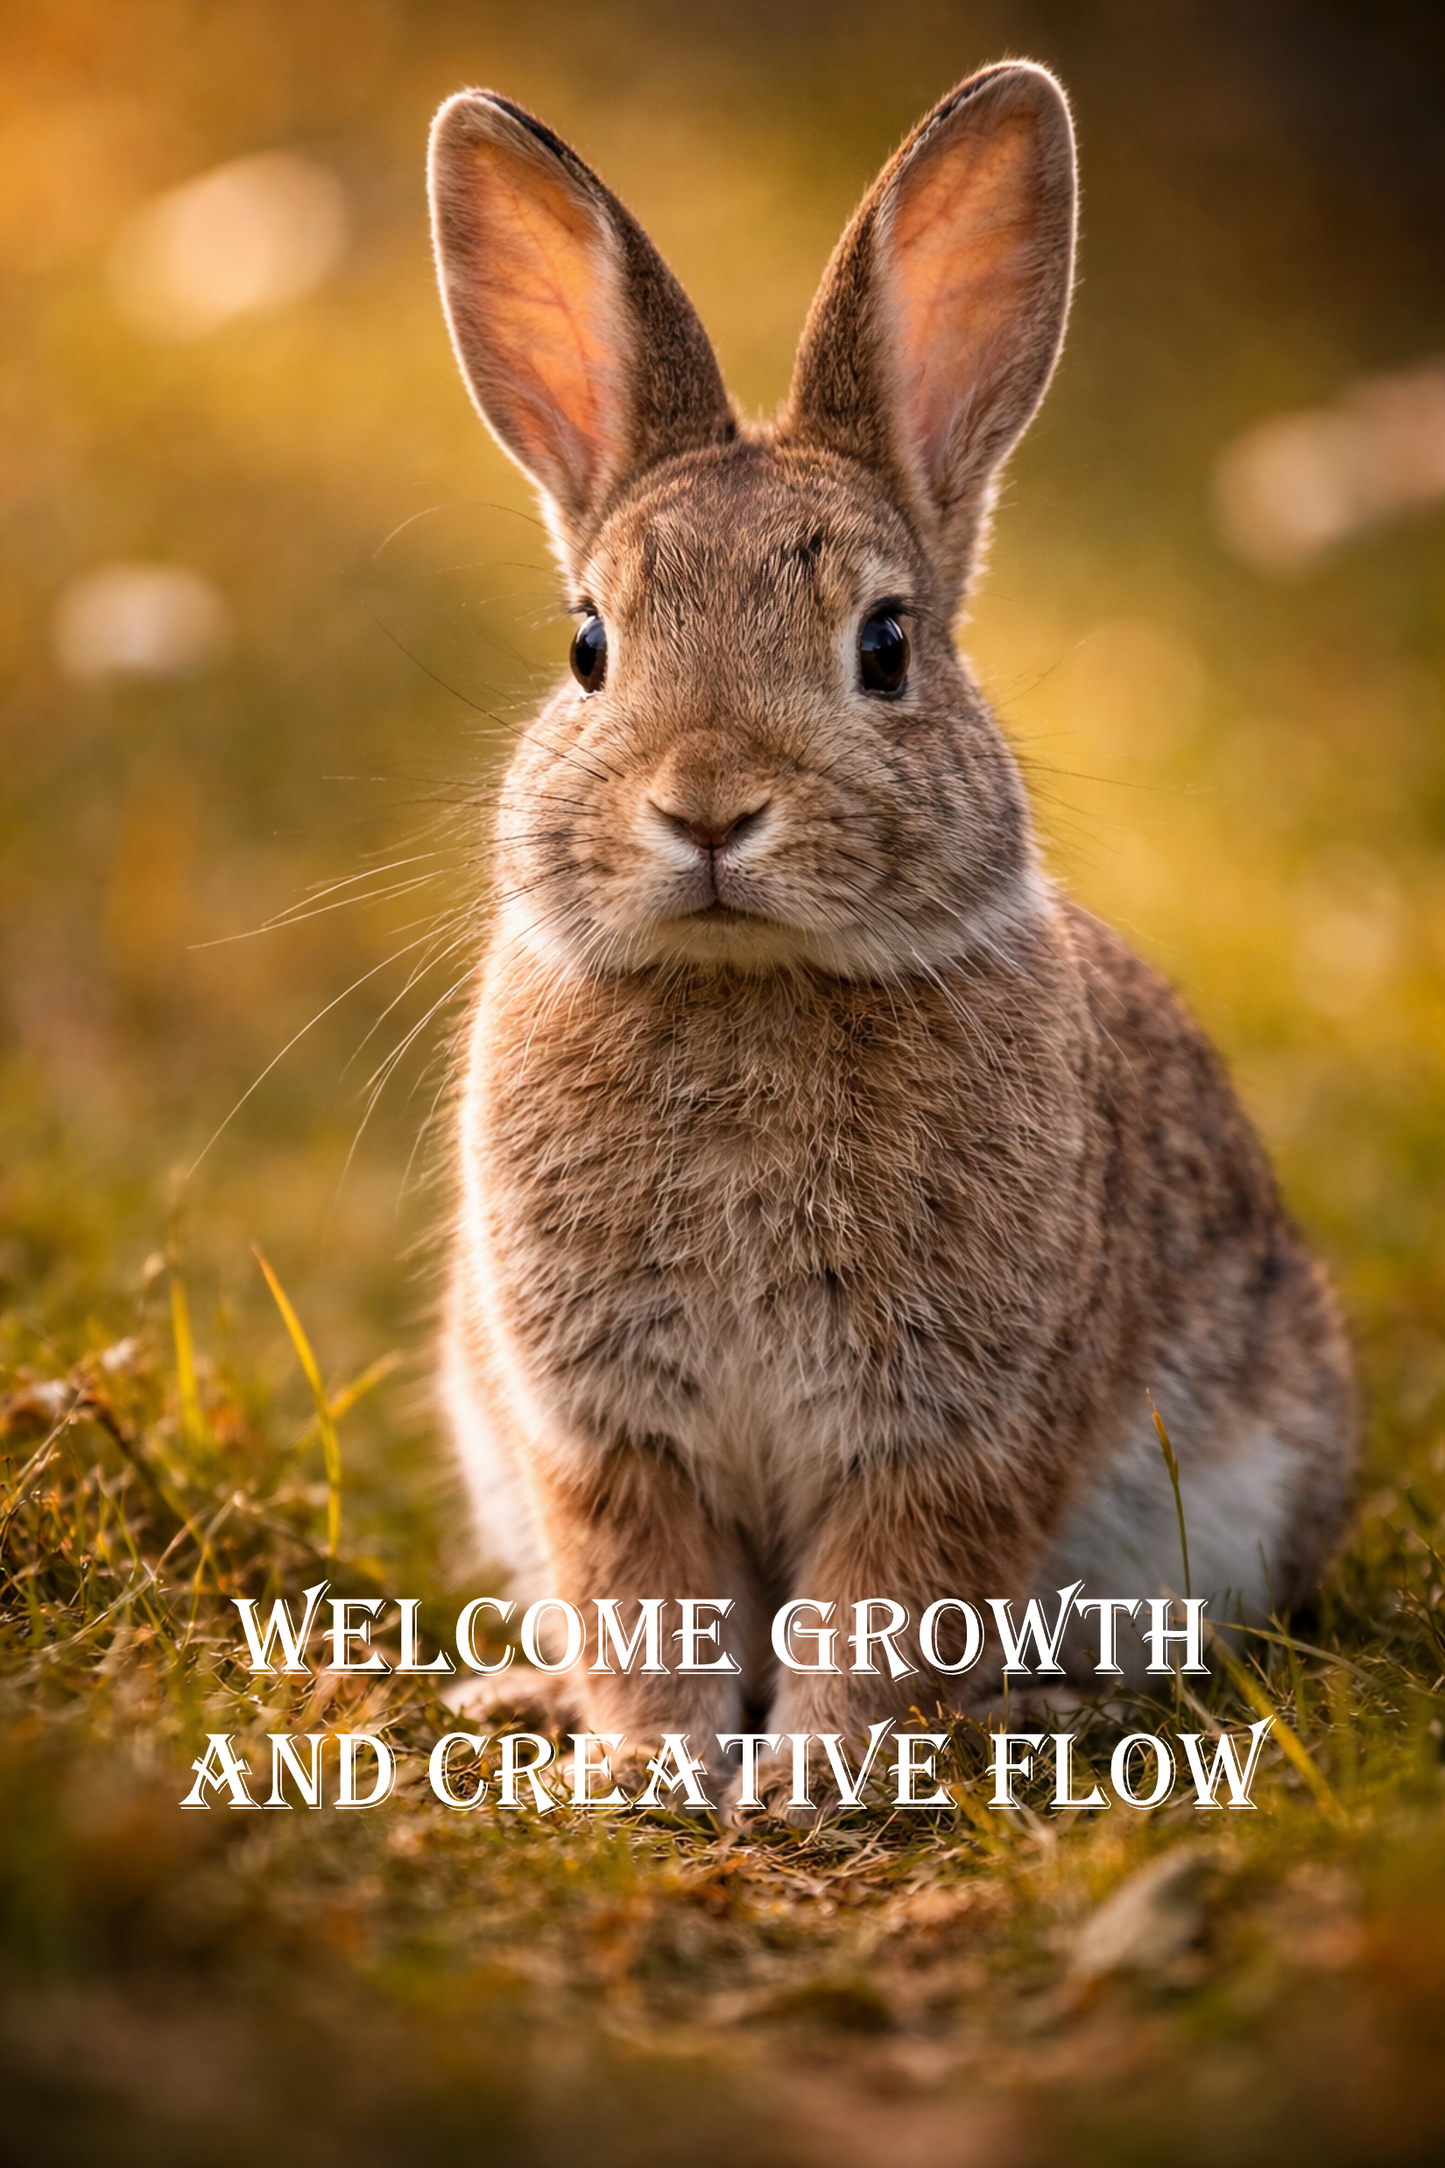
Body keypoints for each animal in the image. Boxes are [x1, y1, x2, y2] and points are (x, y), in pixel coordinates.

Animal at [428, 61, 1356, 1815]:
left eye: (886, 645)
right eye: (588, 647)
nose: (707, 809)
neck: (746, 990)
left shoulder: (949, 1440)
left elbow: (884, 1603)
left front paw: (807, 1783)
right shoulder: (602, 1437)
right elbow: (643, 1595)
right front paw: (655, 1769)